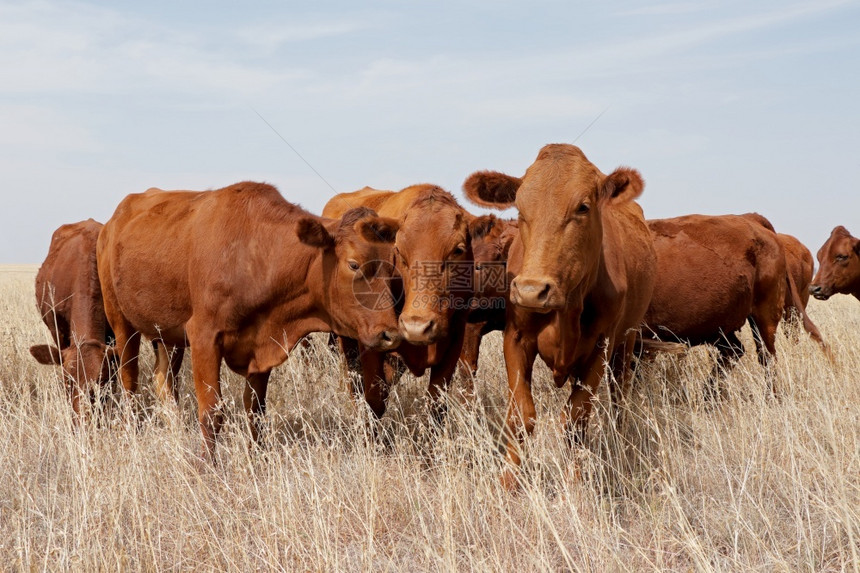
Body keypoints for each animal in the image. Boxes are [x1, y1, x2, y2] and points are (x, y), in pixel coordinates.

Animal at [98, 181, 404, 454]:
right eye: (354, 264)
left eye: (392, 266)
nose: (390, 334)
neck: (254, 256)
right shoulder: (204, 337)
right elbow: (211, 412)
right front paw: (207, 469)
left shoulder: (261, 346)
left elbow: (256, 412)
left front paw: (257, 458)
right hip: (121, 323)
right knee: (129, 382)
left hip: (166, 335)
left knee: (164, 383)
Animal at [322, 183, 498, 420]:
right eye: (398, 251)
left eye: (458, 250)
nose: (417, 327)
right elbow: (374, 401)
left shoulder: (454, 344)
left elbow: (436, 406)